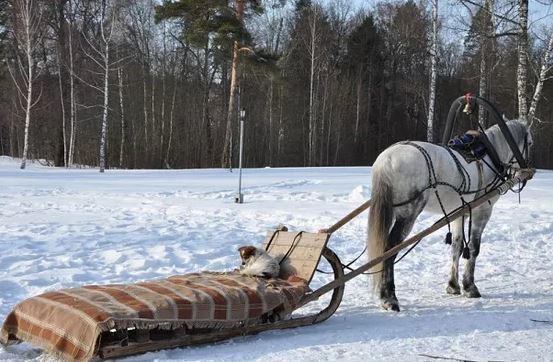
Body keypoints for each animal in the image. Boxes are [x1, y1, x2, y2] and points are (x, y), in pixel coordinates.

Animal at [366, 119, 532, 312]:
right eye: (529, 143)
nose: (527, 171)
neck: (490, 155)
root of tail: (386, 160)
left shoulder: (458, 212)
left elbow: (457, 246)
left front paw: (453, 285)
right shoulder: (482, 210)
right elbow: (474, 248)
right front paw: (470, 286)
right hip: (408, 213)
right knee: (389, 249)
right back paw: (389, 297)